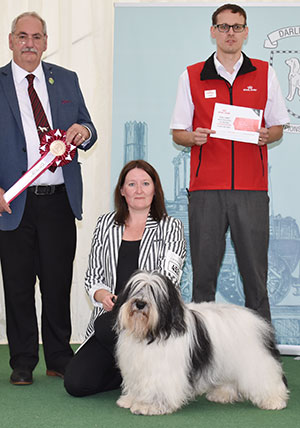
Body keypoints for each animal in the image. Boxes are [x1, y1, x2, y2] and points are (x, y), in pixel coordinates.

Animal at [113, 270, 288, 414]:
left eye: (154, 293)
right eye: (135, 290)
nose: (140, 303)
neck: (152, 332)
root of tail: (258, 321)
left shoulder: (162, 370)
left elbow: (158, 389)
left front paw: (149, 406)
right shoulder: (137, 367)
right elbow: (137, 384)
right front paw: (130, 400)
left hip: (255, 360)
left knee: (266, 378)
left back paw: (274, 401)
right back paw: (222, 394)